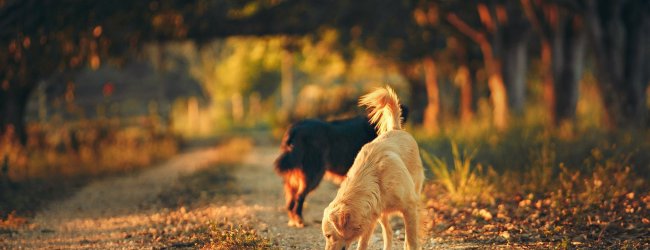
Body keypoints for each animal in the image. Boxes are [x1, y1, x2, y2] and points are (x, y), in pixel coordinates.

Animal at [272, 105, 404, 227]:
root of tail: (296, 127)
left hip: (296, 176)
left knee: (290, 200)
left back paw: (294, 220)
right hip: (313, 173)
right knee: (299, 197)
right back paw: (300, 220)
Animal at [322, 86, 422, 250]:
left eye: (328, 235)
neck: (375, 178)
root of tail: (395, 128)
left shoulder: (410, 206)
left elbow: (412, 241)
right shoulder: (371, 215)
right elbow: (363, 243)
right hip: (380, 214)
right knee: (388, 232)